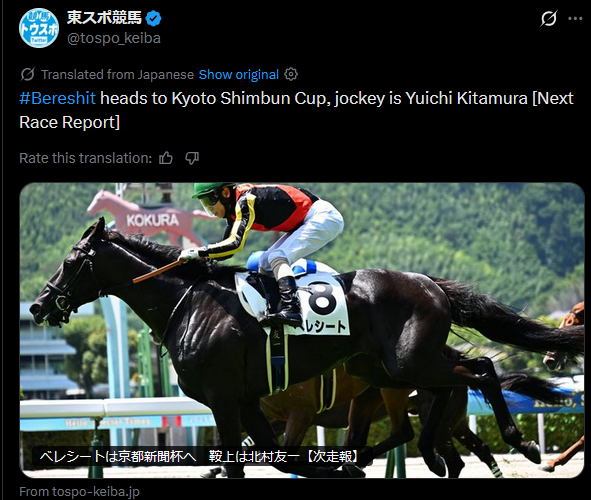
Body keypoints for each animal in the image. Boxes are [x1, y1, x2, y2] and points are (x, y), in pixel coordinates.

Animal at [87, 189, 215, 247]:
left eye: (98, 199)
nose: (89, 210)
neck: (122, 209)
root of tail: (189, 213)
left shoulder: (125, 228)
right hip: (173, 233)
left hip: (185, 230)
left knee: (199, 241)